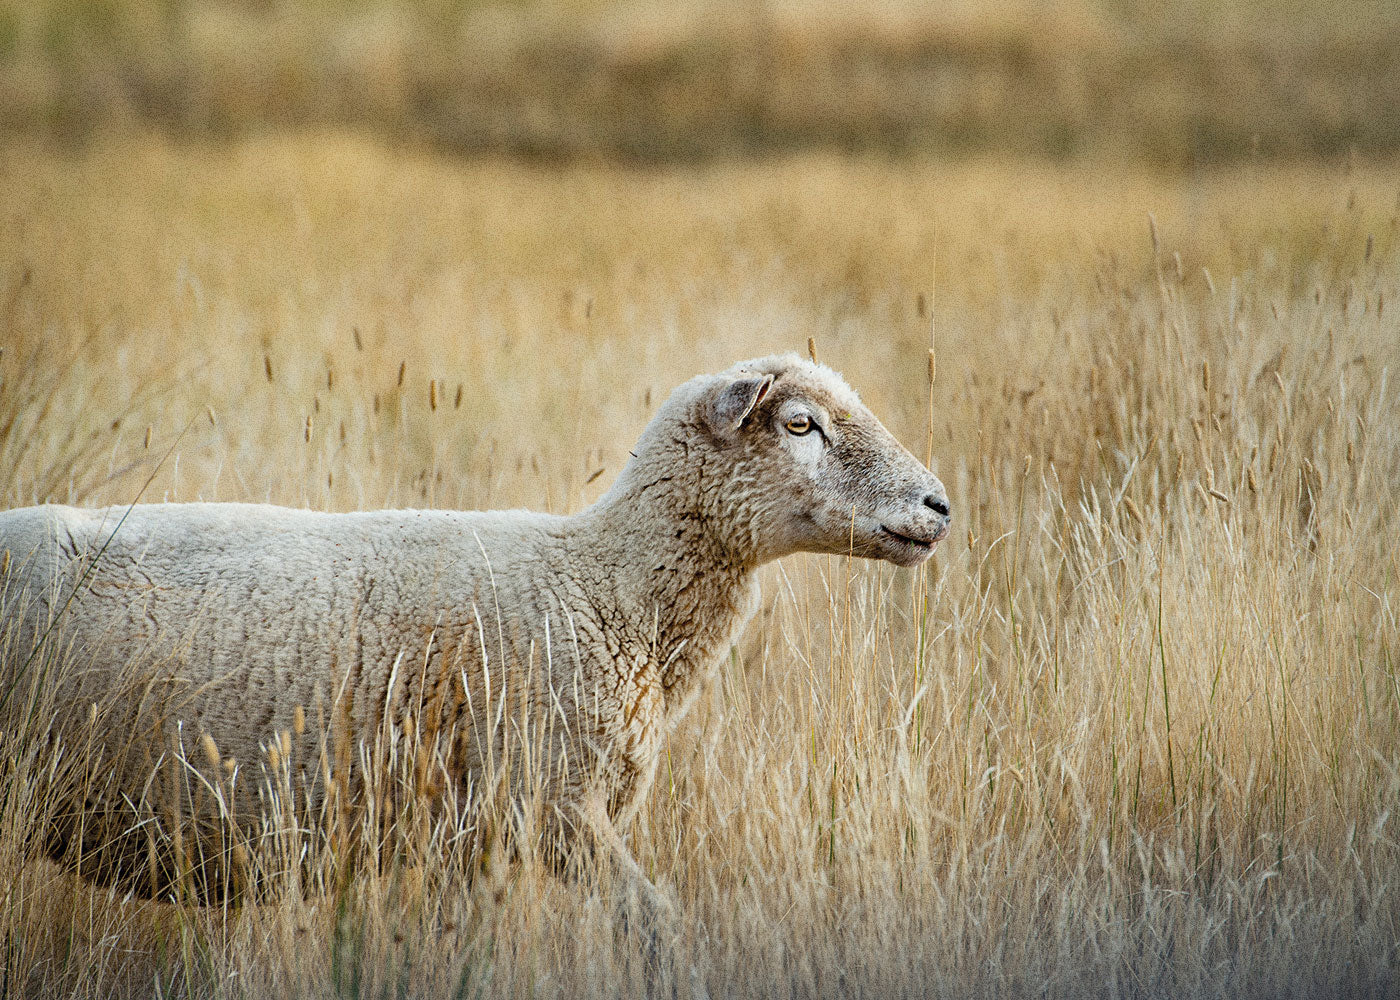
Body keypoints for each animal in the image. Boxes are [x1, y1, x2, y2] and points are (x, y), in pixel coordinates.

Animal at [0, 350, 952, 913]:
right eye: (800, 425)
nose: (940, 505)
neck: (605, 586)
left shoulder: (471, 838)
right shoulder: (555, 803)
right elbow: (657, 928)